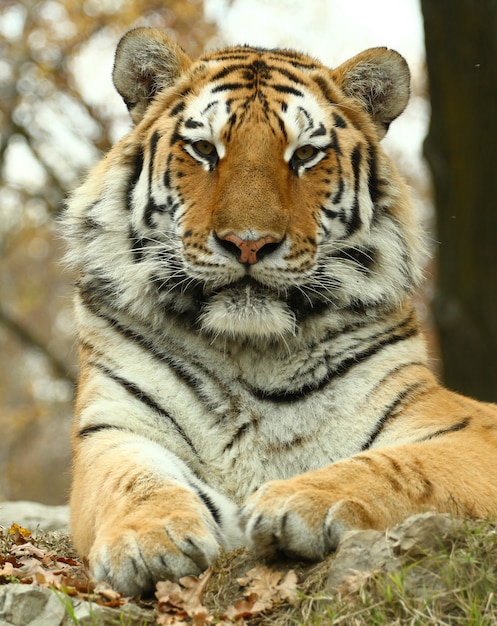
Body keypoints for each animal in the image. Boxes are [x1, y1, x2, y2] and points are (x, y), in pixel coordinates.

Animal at [61, 28, 496, 596]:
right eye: (204, 149)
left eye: (305, 154)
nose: (249, 243)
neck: (247, 348)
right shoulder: (114, 427)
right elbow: (134, 480)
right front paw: (148, 540)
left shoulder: (463, 429)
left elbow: (399, 465)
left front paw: (297, 500)